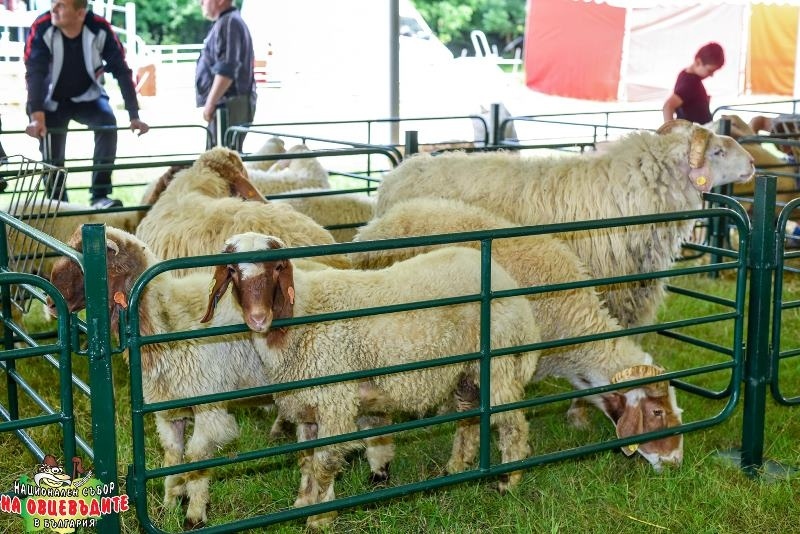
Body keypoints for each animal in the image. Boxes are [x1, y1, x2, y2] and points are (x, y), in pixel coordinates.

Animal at [48, 225, 270, 528]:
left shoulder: (210, 408)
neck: (165, 321)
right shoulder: (169, 410)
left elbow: (196, 459)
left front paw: (194, 514)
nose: (49, 303)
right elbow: (173, 455)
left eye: (84, 261)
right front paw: (170, 504)